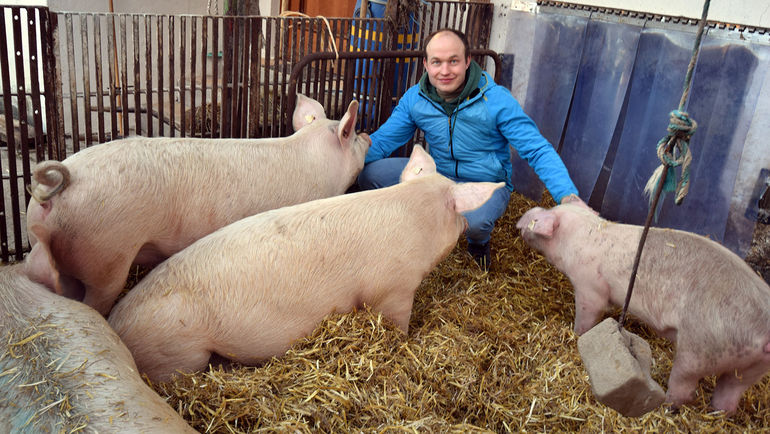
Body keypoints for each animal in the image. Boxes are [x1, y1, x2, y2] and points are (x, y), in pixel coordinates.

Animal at [106, 147, 504, 384]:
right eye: (458, 213)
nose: (466, 226)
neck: (417, 216)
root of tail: (116, 325)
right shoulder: (394, 289)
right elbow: (398, 324)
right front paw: (407, 341)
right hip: (181, 352)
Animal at [512, 203, 770, 414]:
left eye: (541, 217)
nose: (522, 218)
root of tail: (763, 329)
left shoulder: (589, 287)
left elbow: (588, 315)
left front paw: (577, 335)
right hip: (752, 367)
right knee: (730, 394)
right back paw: (717, 413)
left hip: (699, 350)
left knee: (684, 388)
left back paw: (664, 407)